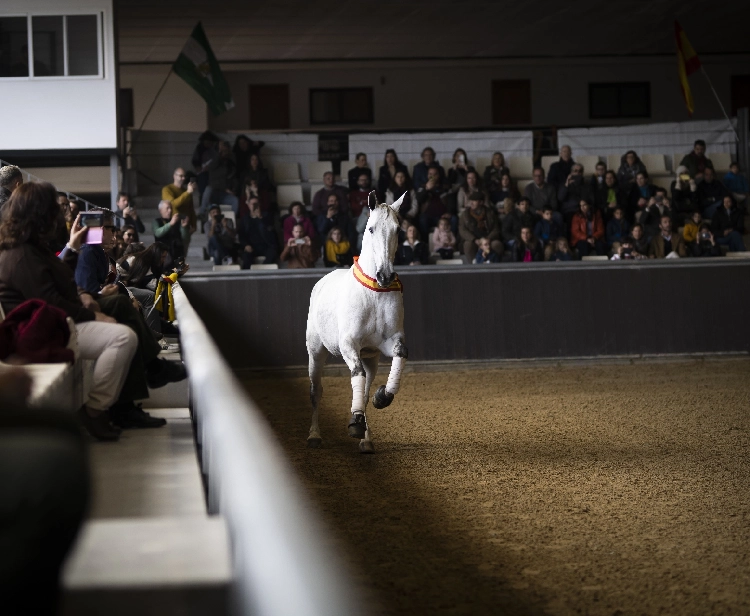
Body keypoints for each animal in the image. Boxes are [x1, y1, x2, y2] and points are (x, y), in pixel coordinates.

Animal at [306, 190, 412, 454]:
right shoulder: (348, 345)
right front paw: (355, 421)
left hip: (371, 358)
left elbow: (399, 356)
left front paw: (381, 397)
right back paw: (314, 435)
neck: (375, 293)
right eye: (371, 228)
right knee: (316, 391)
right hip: (316, 352)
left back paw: (366, 439)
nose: (385, 275)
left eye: (398, 229)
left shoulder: (388, 342)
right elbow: (356, 374)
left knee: (364, 388)